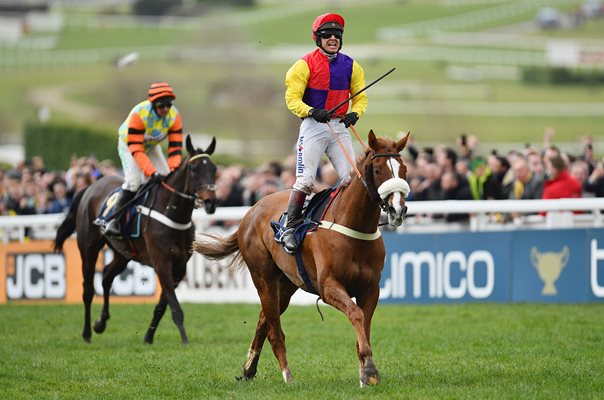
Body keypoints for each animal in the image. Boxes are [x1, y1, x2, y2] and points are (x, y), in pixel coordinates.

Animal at [54, 134, 218, 344]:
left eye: (214, 169)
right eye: (194, 169)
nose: (210, 203)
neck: (173, 213)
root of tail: (90, 187)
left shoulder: (180, 268)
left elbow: (162, 306)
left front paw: (148, 337)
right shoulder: (162, 263)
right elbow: (175, 307)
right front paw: (184, 340)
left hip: (123, 253)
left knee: (106, 276)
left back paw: (100, 323)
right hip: (89, 249)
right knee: (88, 290)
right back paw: (87, 333)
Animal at [193, 130, 410, 384]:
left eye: (404, 169)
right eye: (377, 169)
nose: (398, 209)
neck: (354, 226)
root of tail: (251, 211)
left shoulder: (370, 288)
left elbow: (364, 322)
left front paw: (366, 370)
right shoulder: (329, 286)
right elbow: (356, 314)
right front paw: (369, 368)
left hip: (286, 284)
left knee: (263, 320)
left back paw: (248, 369)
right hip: (263, 277)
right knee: (274, 331)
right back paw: (287, 375)